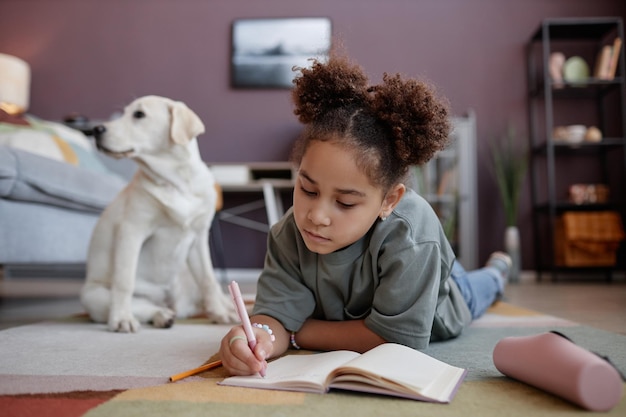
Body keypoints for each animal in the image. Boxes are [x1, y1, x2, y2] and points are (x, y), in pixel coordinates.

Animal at [81, 95, 238, 332]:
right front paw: (121, 318)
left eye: (139, 114)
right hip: (94, 297)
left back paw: (227, 307)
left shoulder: (199, 236)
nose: (96, 129)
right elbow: (124, 281)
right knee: (142, 305)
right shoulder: (131, 231)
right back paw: (161, 315)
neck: (177, 182)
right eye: (124, 113)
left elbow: (208, 279)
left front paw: (220, 313)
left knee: (215, 291)